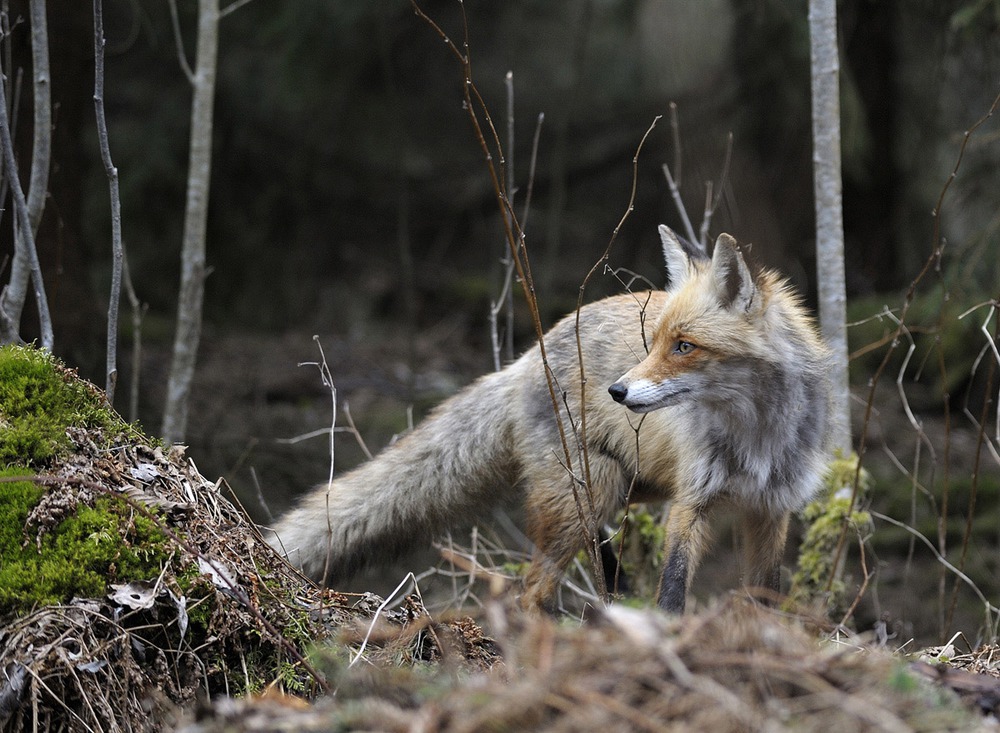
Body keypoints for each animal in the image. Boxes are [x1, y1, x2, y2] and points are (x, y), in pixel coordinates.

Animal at [270, 227, 832, 612]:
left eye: (684, 346)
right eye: (654, 343)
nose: (618, 391)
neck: (757, 437)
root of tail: (528, 355)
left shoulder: (771, 509)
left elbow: (765, 596)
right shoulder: (692, 501)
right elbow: (673, 590)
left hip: (622, 488)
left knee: (595, 560)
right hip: (589, 491)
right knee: (529, 592)